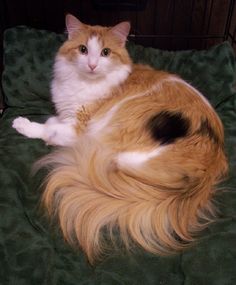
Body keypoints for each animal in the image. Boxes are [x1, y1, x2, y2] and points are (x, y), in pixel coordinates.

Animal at [12, 13, 228, 262]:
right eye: (83, 49)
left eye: (105, 52)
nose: (92, 65)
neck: (86, 83)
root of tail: (208, 169)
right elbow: (54, 121)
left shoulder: (80, 127)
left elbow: (48, 129)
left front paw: (23, 124)